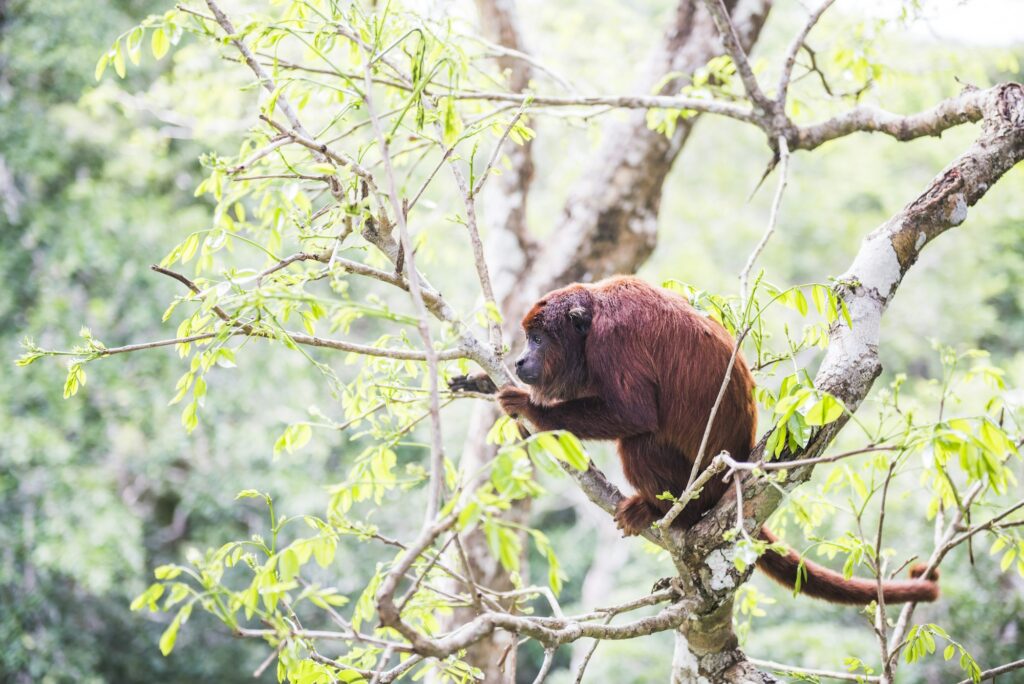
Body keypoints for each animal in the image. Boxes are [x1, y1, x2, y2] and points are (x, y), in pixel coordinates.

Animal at [451, 275, 939, 605]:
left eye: (537, 338)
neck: (591, 318)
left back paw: (662, 511)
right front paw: (485, 383)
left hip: (695, 484)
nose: (521, 360)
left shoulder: (613, 339)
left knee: (640, 441)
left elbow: (635, 413)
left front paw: (530, 407)